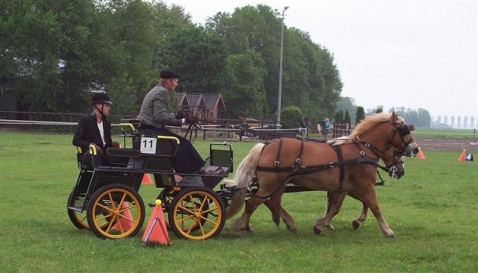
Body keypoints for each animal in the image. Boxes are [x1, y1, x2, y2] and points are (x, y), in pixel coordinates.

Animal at [226, 111, 416, 237]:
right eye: (404, 130)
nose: (414, 149)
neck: (362, 150)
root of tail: (266, 145)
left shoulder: (346, 187)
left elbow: (337, 207)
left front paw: (323, 225)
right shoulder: (364, 186)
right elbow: (374, 206)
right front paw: (387, 230)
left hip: (278, 184)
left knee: (271, 202)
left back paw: (286, 223)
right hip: (270, 184)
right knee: (253, 203)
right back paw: (240, 226)